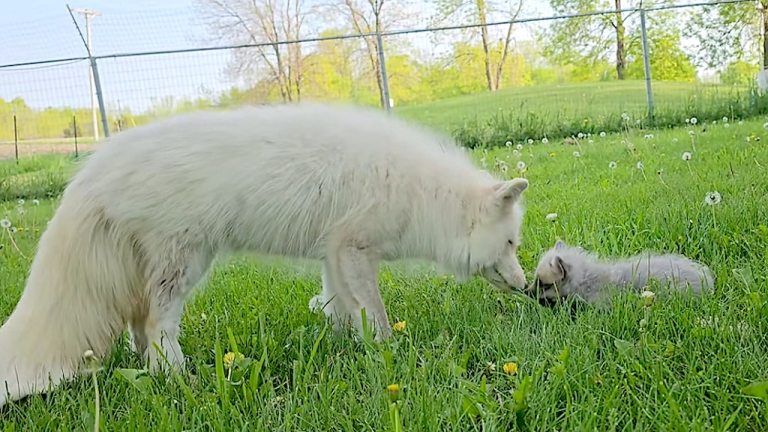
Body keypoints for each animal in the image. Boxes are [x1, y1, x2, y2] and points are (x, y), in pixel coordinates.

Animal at [0, 103, 528, 406]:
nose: (526, 287)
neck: (425, 196)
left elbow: (340, 309)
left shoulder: (335, 254)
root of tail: (95, 168)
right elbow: (374, 315)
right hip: (185, 262)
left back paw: (152, 369)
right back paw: (180, 377)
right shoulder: (355, 249)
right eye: (511, 244)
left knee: (138, 324)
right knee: (154, 324)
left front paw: (345, 348)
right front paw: (385, 352)